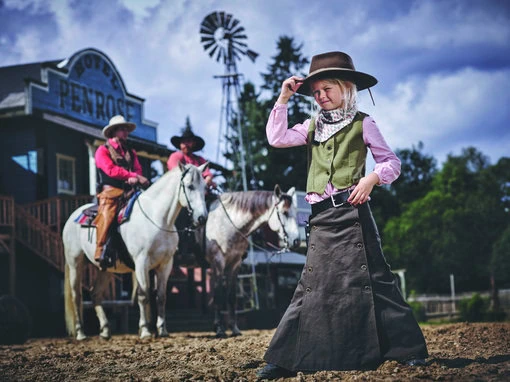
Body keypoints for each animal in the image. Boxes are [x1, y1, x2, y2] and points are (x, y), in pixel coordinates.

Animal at [62, 162, 209, 340]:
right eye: (189, 186)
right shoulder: (141, 263)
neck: (158, 219)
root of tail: (72, 217)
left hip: (105, 269)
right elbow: (143, 295)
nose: (202, 218)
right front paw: (145, 330)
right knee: (76, 295)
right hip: (75, 263)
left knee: (95, 294)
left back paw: (105, 331)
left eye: (205, 187)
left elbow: (161, 296)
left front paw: (162, 330)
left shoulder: (165, 264)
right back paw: (81, 333)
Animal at [203, 185, 300, 338]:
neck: (227, 223)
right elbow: (218, 295)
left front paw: (235, 329)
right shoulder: (218, 263)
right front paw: (219, 329)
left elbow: (231, 296)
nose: (296, 241)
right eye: (284, 213)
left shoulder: (235, 264)